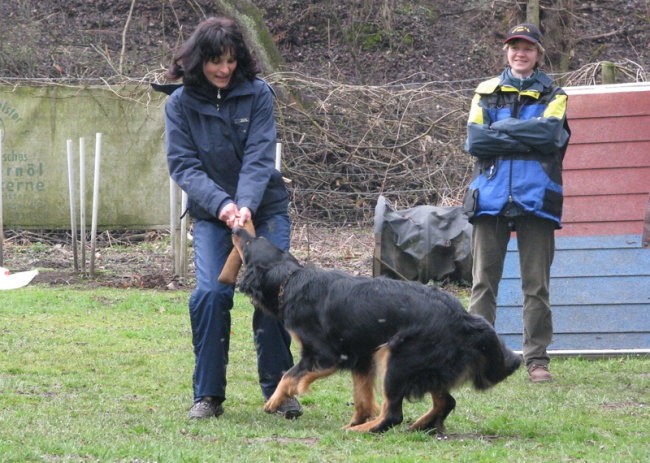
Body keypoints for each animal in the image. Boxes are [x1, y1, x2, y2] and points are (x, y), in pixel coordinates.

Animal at [230, 228, 520, 436]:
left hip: (396, 358)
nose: (235, 227)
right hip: (426, 367)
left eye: (249, 244)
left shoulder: (325, 355)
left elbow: (289, 375)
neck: (290, 279)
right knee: (445, 402)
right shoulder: (361, 357)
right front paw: (356, 418)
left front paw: (274, 401)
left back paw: (365, 430)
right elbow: (362, 397)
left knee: (393, 415)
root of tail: (463, 317)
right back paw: (419, 426)